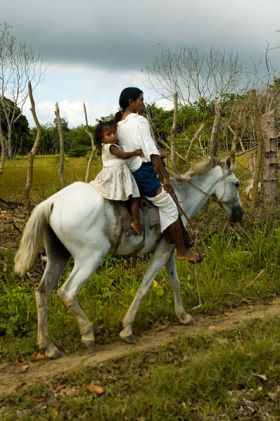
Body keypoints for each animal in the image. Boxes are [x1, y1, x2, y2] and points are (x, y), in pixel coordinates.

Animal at [14, 158, 243, 358]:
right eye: (237, 184)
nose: (239, 214)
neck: (181, 198)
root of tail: (51, 202)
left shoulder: (168, 250)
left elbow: (175, 283)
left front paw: (183, 316)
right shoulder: (161, 253)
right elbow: (144, 287)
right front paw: (127, 329)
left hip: (58, 256)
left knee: (43, 292)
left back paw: (48, 346)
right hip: (90, 257)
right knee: (67, 292)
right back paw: (87, 334)